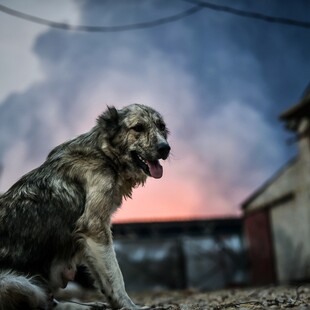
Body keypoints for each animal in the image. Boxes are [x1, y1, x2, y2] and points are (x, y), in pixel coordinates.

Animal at [0, 104, 171, 310]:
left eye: (161, 127)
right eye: (138, 127)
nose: (165, 148)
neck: (104, 154)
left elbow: (106, 280)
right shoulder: (94, 228)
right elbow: (116, 277)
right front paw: (130, 306)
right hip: (18, 284)